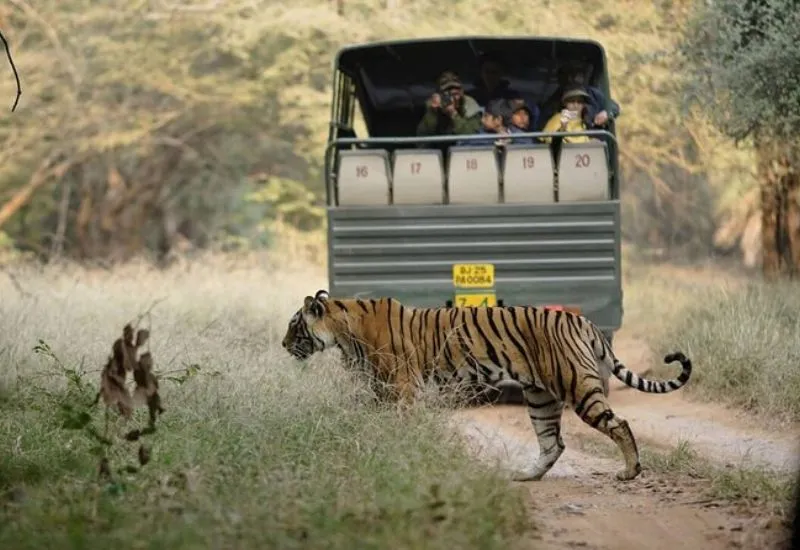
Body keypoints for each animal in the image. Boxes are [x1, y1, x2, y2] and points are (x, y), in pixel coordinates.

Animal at [281, 289, 693, 482]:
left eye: (293, 324)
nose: (283, 345)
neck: (342, 330)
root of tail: (583, 321)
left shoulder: (401, 388)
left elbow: (400, 424)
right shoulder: (379, 390)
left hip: (577, 385)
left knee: (618, 424)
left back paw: (630, 471)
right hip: (539, 397)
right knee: (553, 443)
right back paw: (526, 476)